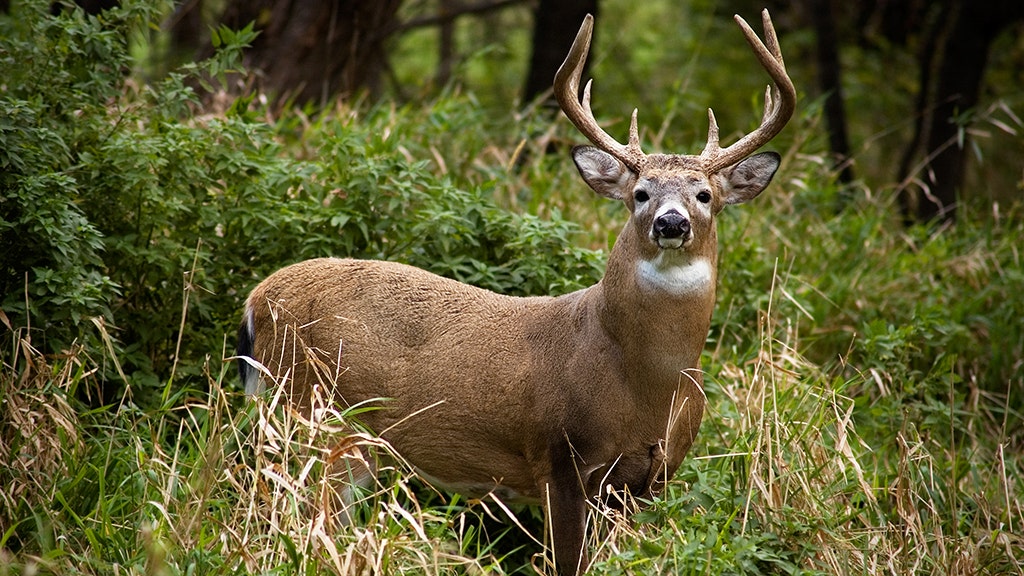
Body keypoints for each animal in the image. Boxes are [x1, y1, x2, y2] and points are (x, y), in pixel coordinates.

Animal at [237, 8, 790, 573]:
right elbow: (569, 560)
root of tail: (257, 299)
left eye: (704, 194)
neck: (646, 383)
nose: (671, 222)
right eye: (640, 193)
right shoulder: (559, 456)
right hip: (311, 412)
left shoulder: (650, 479)